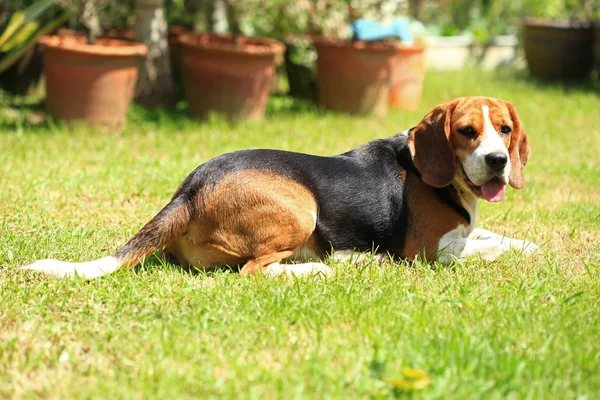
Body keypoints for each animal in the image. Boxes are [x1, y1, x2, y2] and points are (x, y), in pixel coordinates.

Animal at [22, 96, 540, 278]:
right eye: (467, 132)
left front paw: (529, 244)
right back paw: (320, 269)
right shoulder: (427, 251)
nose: (498, 162)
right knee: (256, 271)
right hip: (301, 210)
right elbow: (484, 246)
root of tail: (191, 187)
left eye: (504, 130)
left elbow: (493, 235)